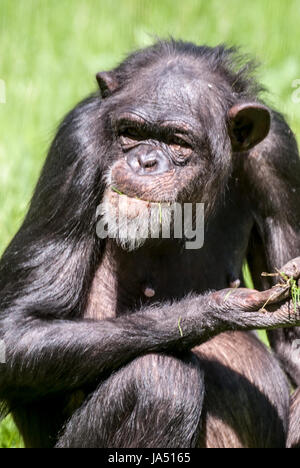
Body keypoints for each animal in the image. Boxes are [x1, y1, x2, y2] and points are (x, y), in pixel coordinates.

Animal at [0, 41, 300, 450]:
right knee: (160, 380)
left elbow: (292, 343)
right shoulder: (75, 147)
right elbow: (18, 328)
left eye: (177, 141)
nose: (144, 161)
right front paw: (216, 309)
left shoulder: (280, 157)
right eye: (131, 131)